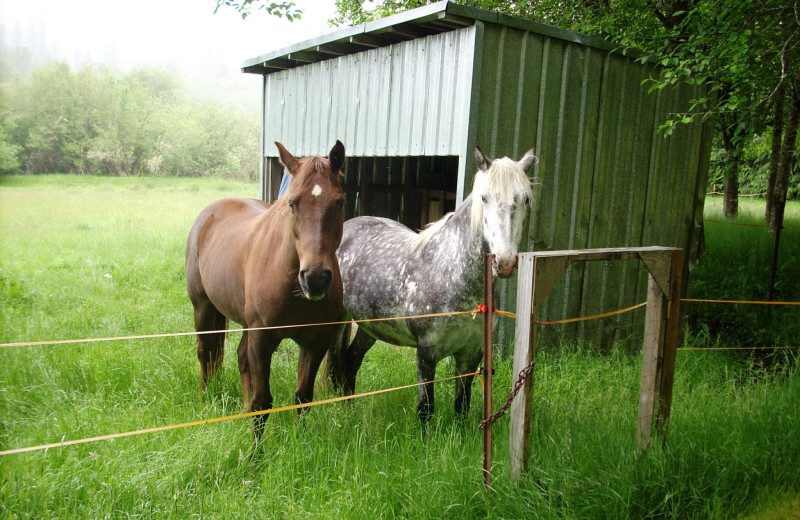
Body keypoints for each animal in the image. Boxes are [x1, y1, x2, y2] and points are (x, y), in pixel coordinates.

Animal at [186, 140, 346, 436]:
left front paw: (300, 441)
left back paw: (241, 407)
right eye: (292, 203)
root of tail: (209, 214)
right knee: (205, 351)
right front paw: (255, 450)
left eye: (339, 202)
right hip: (202, 307)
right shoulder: (262, 339)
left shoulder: (315, 342)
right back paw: (204, 398)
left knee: (239, 357)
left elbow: (303, 397)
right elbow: (263, 402)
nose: (315, 279)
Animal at [328, 146, 536, 422]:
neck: (453, 274)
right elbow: (426, 408)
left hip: (370, 326)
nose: (504, 262)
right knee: (335, 364)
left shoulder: (471, 353)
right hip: (337, 321)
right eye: (484, 198)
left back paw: (350, 409)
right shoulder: (427, 353)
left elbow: (461, 405)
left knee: (352, 359)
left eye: (525, 199)